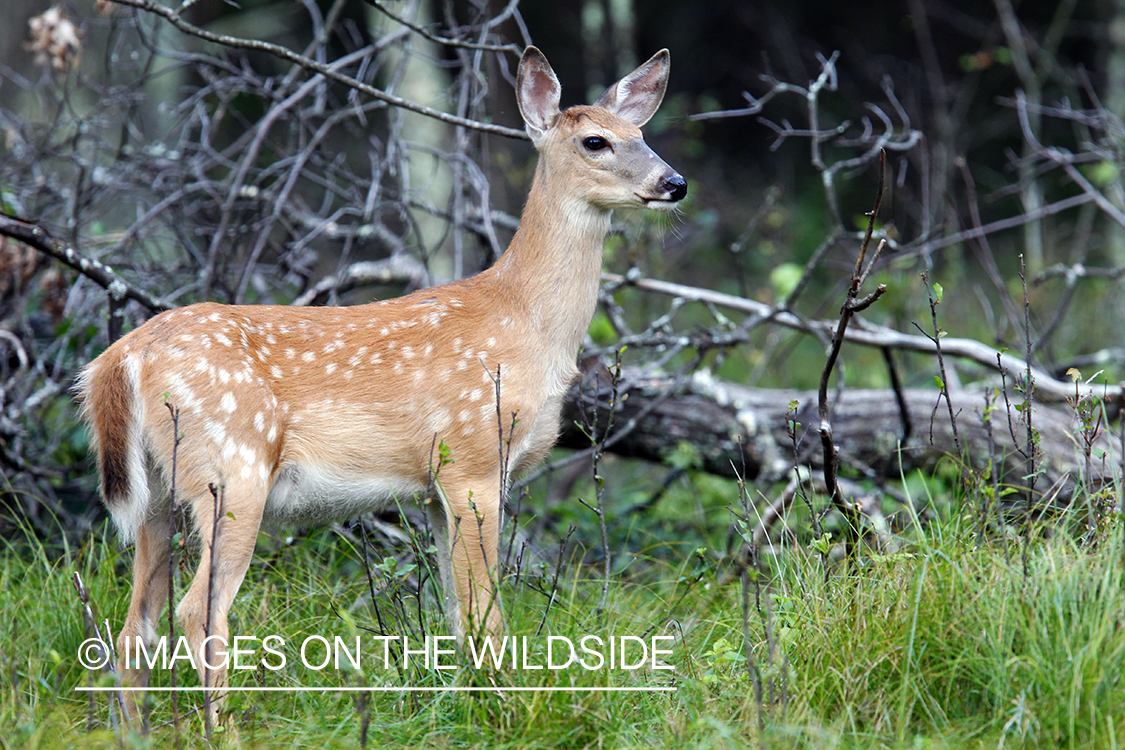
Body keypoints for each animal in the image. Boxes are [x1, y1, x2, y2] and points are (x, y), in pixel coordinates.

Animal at [75, 45, 685, 720]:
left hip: (157, 493)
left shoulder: (436, 488)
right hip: (231, 470)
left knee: (135, 626)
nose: (673, 183)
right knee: (197, 613)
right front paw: (502, 712)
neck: (525, 324)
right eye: (595, 141)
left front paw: (471, 706)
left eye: (642, 135)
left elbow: (455, 614)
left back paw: (137, 729)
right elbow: (487, 614)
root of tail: (118, 360)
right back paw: (224, 728)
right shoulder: (471, 458)